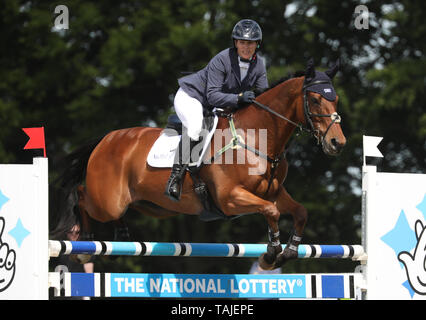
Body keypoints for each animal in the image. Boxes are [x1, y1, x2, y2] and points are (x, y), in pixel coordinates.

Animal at [50, 58, 346, 270]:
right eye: (315, 99)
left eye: (335, 99)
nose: (337, 143)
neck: (257, 138)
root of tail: (106, 140)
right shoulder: (230, 198)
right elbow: (271, 211)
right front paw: (271, 253)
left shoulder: (273, 192)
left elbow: (299, 212)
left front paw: (289, 251)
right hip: (108, 201)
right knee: (82, 196)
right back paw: (85, 244)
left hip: (151, 206)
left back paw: (121, 236)